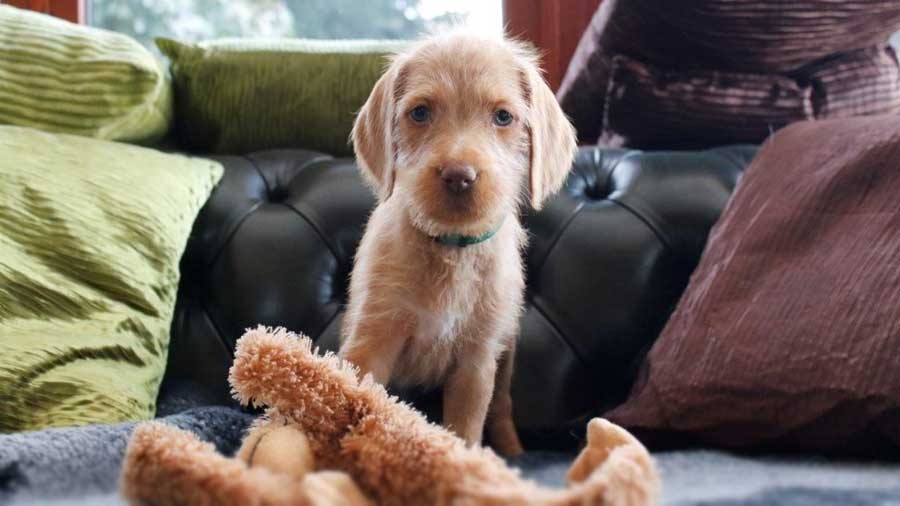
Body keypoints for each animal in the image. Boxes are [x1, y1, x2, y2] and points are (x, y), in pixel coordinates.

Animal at [338, 32, 576, 458]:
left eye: (503, 117)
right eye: (419, 113)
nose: (459, 177)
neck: (450, 248)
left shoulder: (475, 365)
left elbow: (465, 430)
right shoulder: (372, 341)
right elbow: (352, 403)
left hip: (505, 356)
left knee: (502, 409)